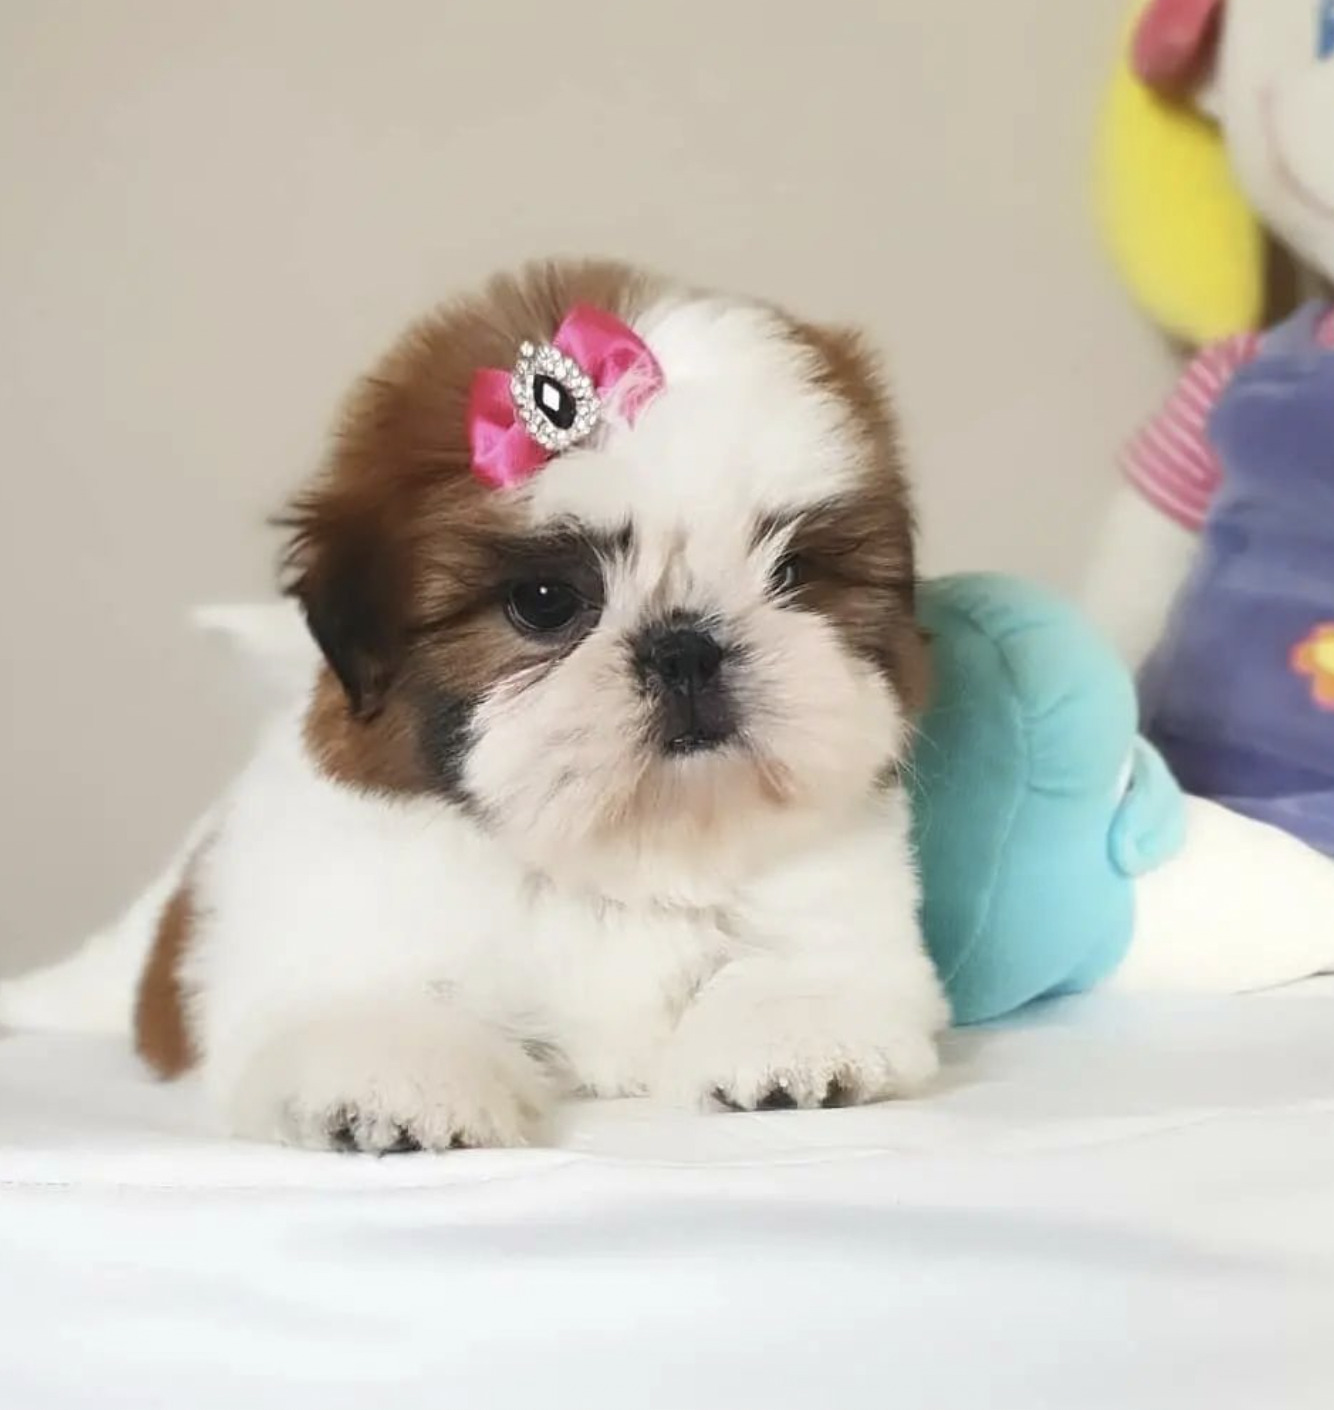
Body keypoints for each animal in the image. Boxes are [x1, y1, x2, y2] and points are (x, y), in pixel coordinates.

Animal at [126, 257, 948, 1152]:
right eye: (546, 601)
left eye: (793, 573)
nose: (686, 648)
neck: (620, 859)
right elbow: (369, 1002)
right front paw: (394, 1079)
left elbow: (804, 969)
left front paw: (792, 1035)